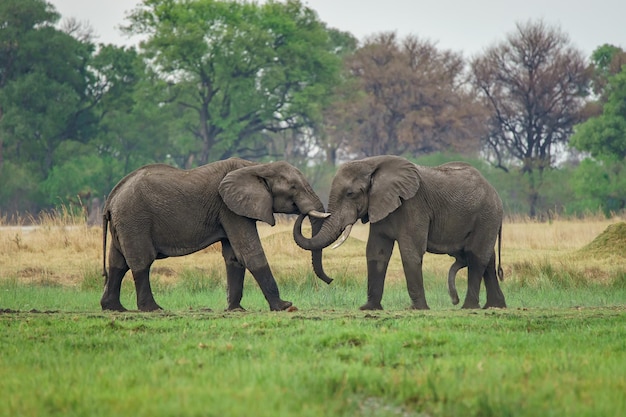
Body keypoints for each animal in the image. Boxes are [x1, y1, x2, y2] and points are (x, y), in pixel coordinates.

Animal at [100, 158, 332, 310]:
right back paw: (153, 309)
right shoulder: (229, 208)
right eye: (293, 187)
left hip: (124, 222)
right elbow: (250, 252)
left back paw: (114, 308)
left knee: (117, 263)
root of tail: (111, 198)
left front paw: (235, 310)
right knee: (141, 260)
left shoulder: (231, 209)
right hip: (134, 219)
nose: (330, 281)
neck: (257, 166)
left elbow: (234, 257)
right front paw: (284, 306)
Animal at [292, 155, 502, 308]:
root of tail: (494, 190)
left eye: (350, 194)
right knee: (488, 260)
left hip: (486, 216)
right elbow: (376, 252)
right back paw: (495, 306)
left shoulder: (414, 205)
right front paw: (368, 308)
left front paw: (418, 309)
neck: (372, 163)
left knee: (476, 257)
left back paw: (469, 307)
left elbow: (410, 252)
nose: (331, 280)